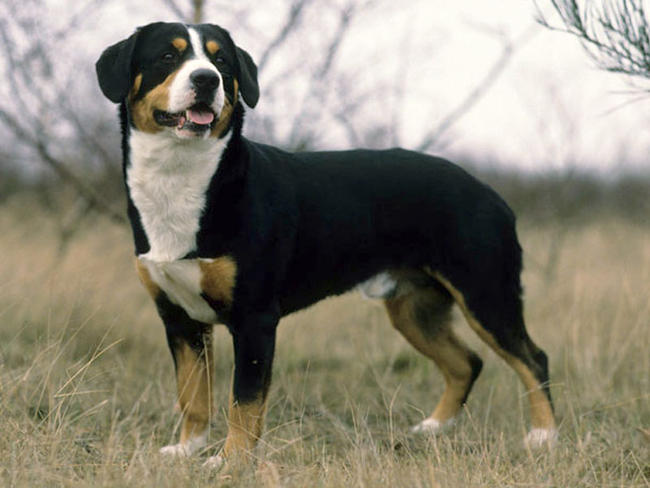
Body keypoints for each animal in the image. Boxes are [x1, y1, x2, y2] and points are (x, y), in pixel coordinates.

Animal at [96, 21, 556, 468]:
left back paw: (543, 437)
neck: (183, 181)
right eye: (167, 56)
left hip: (485, 295)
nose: (207, 79)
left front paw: (230, 460)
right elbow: (193, 396)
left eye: (220, 60)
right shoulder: (179, 318)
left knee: (533, 359)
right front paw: (186, 450)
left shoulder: (255, 318)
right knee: (466, 363)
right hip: (414, 310)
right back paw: (432, 428)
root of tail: (490, 192)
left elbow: (244, 402)